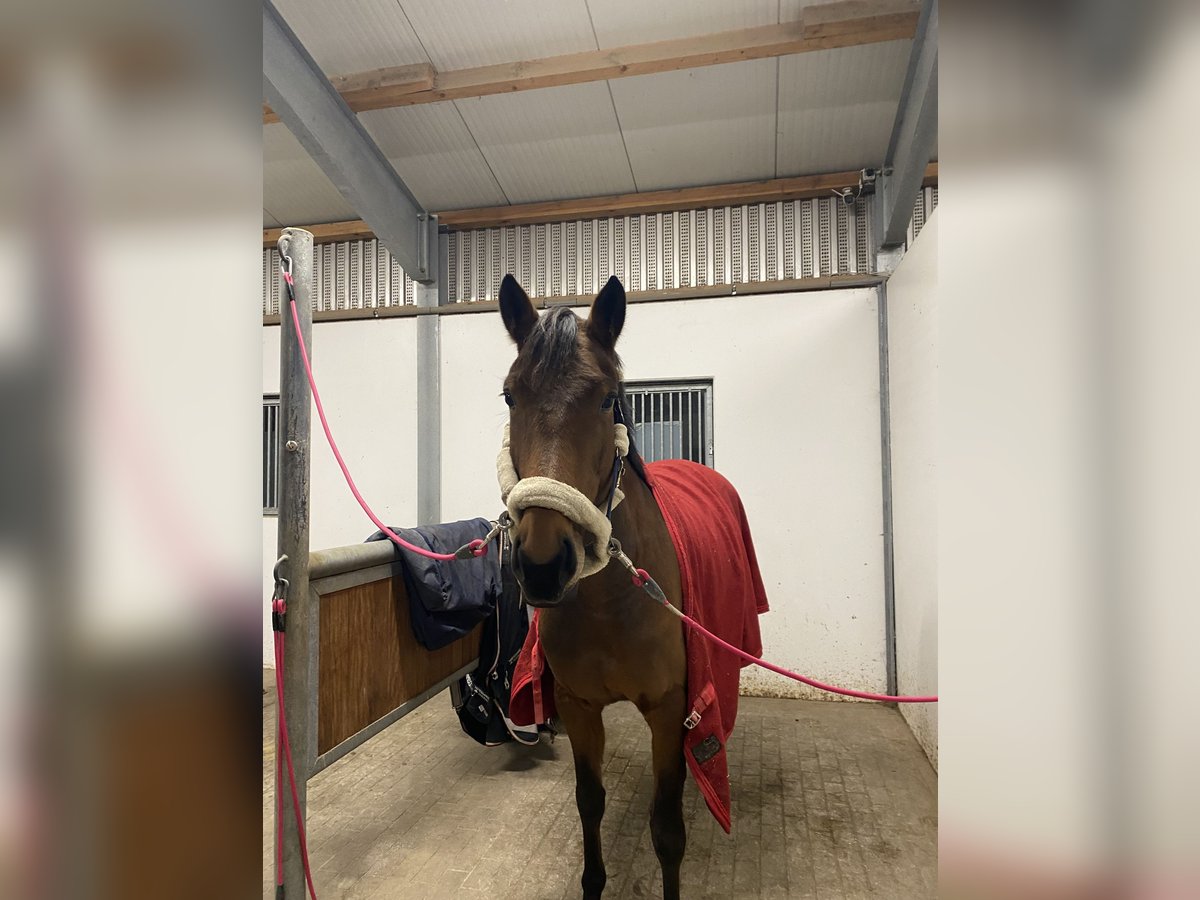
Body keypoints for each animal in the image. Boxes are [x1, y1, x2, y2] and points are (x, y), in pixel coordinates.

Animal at [497, 273, 693, 899]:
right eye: (510, 396)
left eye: (607, 398)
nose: (542, 563)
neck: (611, 604)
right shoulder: (577, 707)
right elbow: (590, 802)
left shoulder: (669, 709)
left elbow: (667, 830)